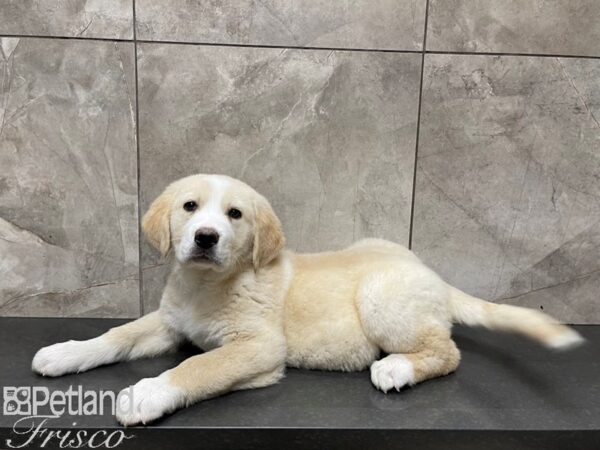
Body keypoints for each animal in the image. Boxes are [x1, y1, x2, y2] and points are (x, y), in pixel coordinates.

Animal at [30, 175, 584, 426]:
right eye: (190, 207)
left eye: (234, 215)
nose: (206, 237)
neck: (208, 285)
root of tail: (432, 274)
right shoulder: (169, 322)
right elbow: (116, 335)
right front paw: (65, 352)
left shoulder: (257, 347)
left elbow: (197, 367)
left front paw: (147, 393)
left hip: (382, 298)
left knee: (447, 351)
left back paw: (397, 367)